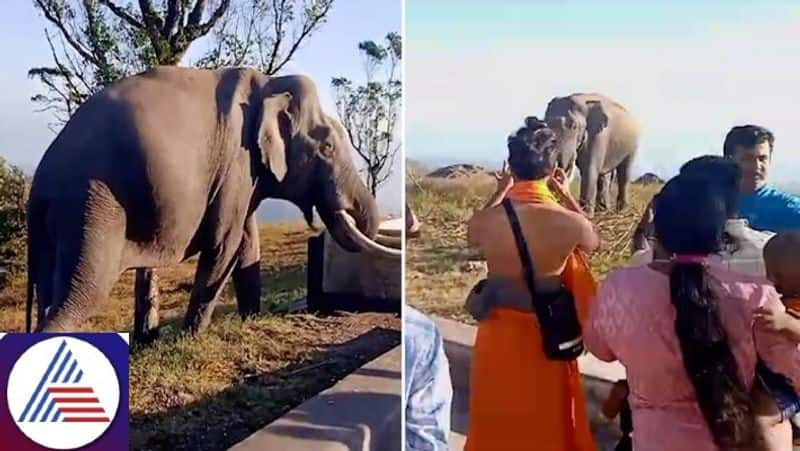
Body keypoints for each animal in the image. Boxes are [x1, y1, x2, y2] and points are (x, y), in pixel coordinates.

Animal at [25, 66, 404, 336]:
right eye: (327, 147)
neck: (268, 82)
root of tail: (41, 181)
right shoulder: (236, 161)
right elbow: (225, 243)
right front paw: (190, 337)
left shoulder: (245, 175)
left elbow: (247, 241)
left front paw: (251, 321)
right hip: (93, 204)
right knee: (82, 293)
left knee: (49, 295)